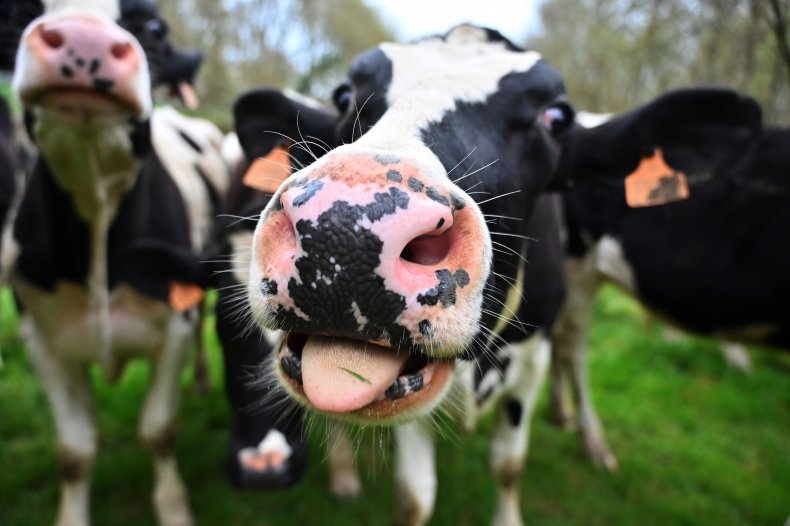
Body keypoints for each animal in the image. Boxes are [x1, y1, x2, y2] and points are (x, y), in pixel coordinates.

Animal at [8, 2, 226, 524]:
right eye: (22, 13)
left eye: (153, 27)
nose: (82, 39)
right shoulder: (43, 341)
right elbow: (75, 450)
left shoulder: (173, 329)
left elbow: (158, 430)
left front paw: (174, 509)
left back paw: (203, 382)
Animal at [235, 26, 760, 526]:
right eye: (344, 95)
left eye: (557, 117)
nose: (344, 227)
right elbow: (415, 497)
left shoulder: (531, 360)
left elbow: (508, 466)